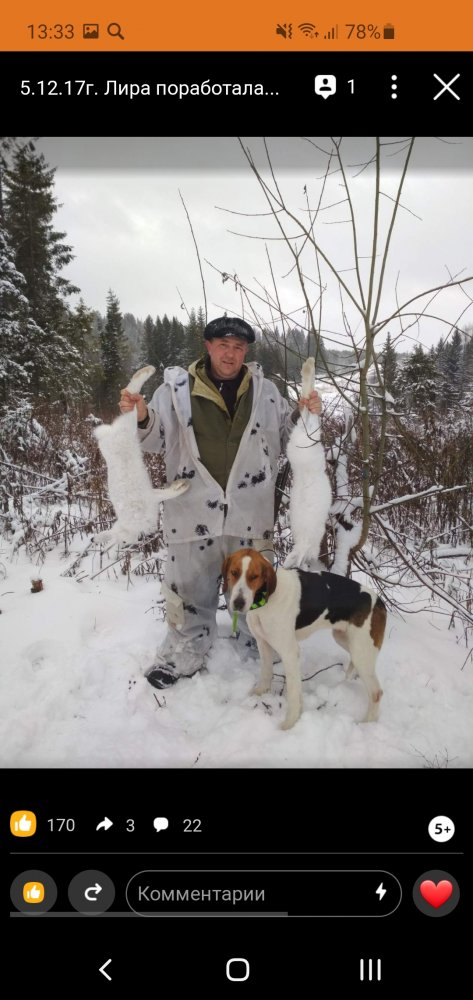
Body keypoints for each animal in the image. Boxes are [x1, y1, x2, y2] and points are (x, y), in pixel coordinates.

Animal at [94, 365, 189, 543]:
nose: (127, 542)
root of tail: (110, 436)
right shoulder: (153, 496)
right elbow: (168, 493)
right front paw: (182, 484)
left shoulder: (151, 498)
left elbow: (168, 494)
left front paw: (182, 485)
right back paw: (147, 371)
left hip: (128, 427)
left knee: (132, 392)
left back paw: (146, 372)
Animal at [222, 548, 385, 730]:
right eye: (234, 573)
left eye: (254, 576)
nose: (238, 603)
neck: (266, 599)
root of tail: (380, 601)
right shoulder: (263, 643)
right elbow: (266, 673)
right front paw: (259, 693)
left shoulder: (290, 653)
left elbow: (293, 693)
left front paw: (289, 723)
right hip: (345, 640)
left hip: (361, 652)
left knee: (376, 692)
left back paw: (366, 724)